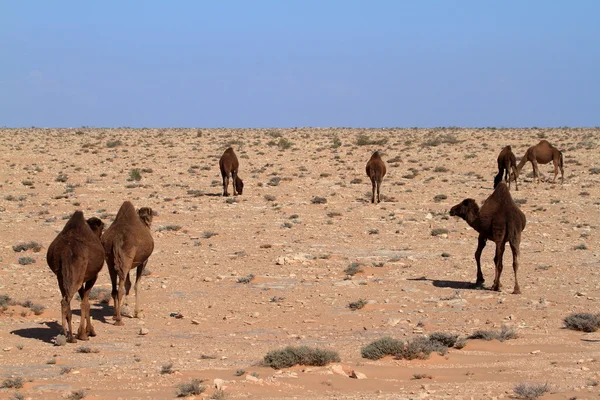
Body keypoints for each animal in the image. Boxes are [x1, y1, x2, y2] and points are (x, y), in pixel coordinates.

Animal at [46, 211, 104, 342]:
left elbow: (84, 300)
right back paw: (72, 337)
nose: (101, 238)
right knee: (68, 300)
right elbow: (85, 303)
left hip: (61, 276)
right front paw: (86, 333)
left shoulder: (81, 279)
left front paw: (83, 332)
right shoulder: (92, 277)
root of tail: (66, 250)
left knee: (64, 300)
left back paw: (65, 334)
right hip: (75, 274)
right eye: (102, 229)